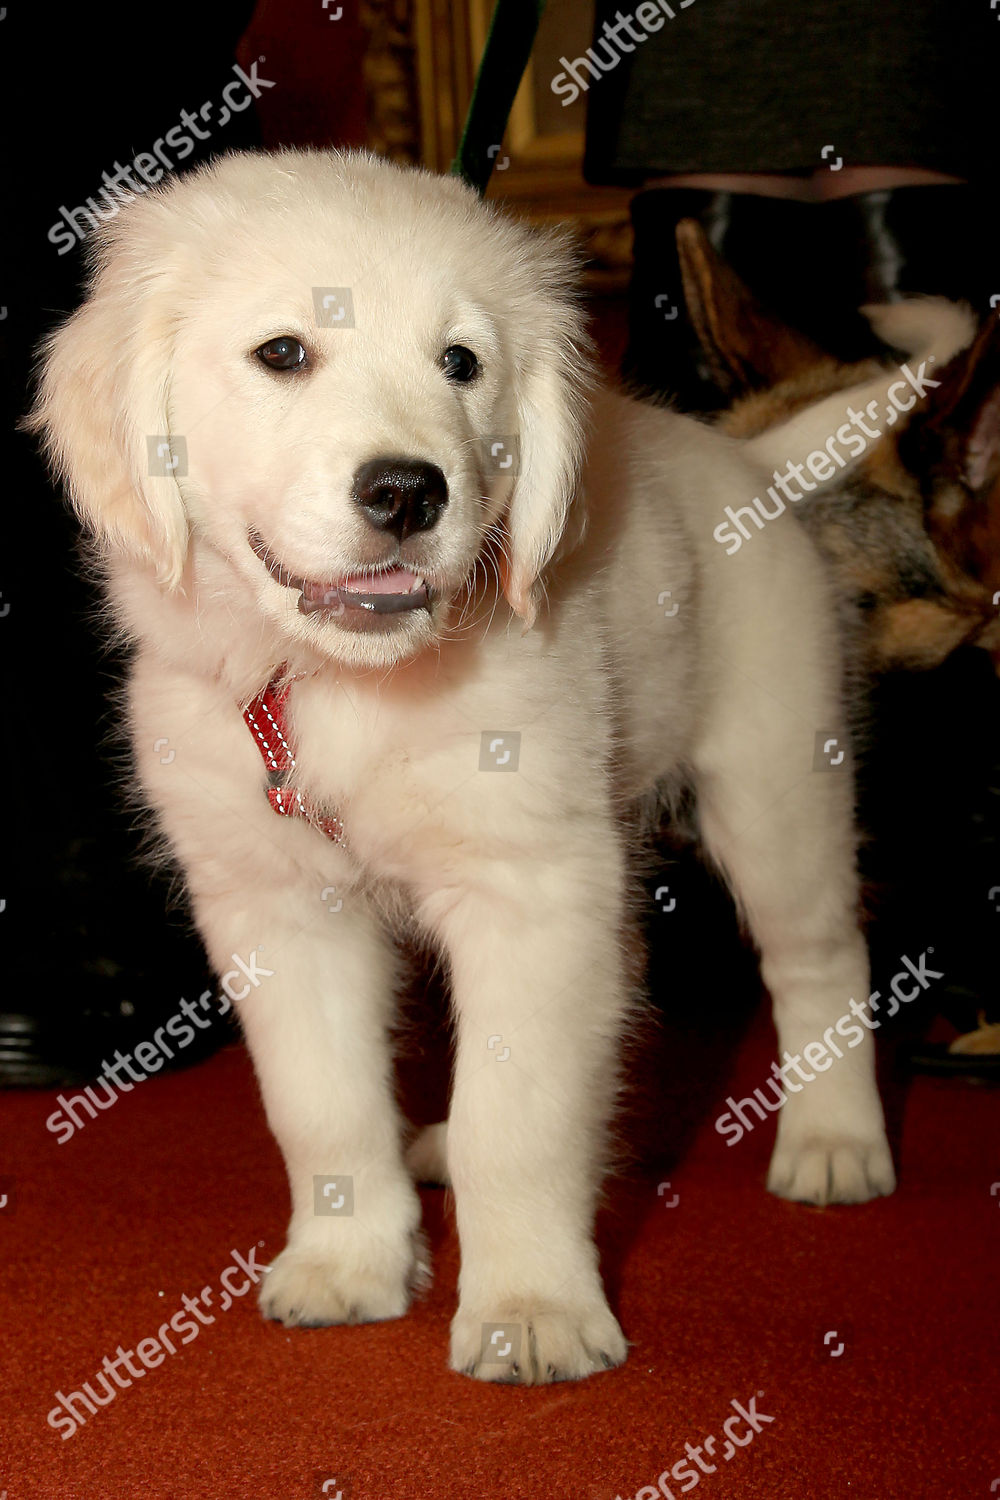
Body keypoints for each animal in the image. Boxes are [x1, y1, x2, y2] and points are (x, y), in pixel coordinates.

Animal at [25, 149, 959, 1380]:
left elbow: (520, 1123)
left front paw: (531, 1309)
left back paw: (835, 1138)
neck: (341, 688)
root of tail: (746, 462)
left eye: (461, 364)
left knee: (820, 960)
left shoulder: (534, 890)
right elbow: (323, 1108)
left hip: (774, 783)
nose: (407, 490)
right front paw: (347, 1263)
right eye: (283, 353)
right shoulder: (277, 907)